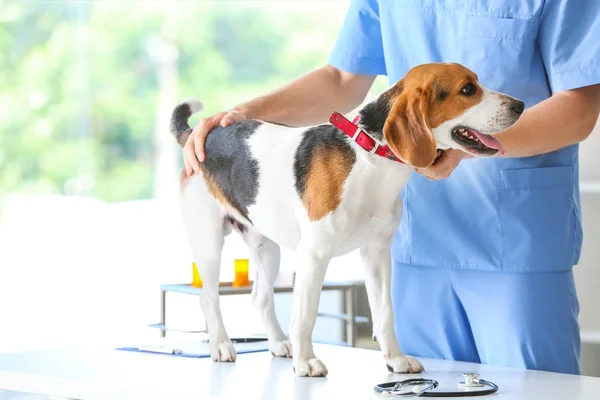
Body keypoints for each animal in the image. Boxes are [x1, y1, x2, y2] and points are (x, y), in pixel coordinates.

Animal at [170, 61, 524, 376]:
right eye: (467, 89)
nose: (520, 105)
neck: (372, 157)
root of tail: (197, 135)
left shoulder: (377, 254)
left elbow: (384, 312)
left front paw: (395, 360)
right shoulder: (315, 256)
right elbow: (306, 315)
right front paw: (306, 362)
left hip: (267, 249)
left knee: (260, 298)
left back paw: (279, 343)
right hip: (209, 243)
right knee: (208, 298)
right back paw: (221, 345)